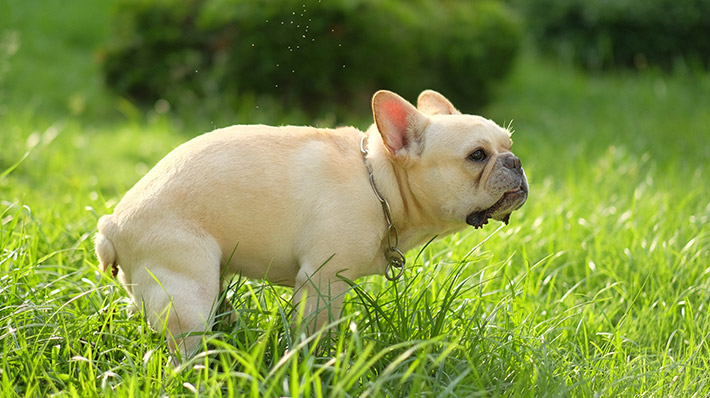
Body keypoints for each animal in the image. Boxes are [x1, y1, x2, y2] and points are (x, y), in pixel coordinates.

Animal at [94, 89, 528, 358]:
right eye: (476, 155)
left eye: (508, 144)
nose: (516, 161)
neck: (378, 180)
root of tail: (111, 226)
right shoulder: (323, 282)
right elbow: (312, 334)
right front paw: (314, 364)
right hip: (188, 291)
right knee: (186, 350)